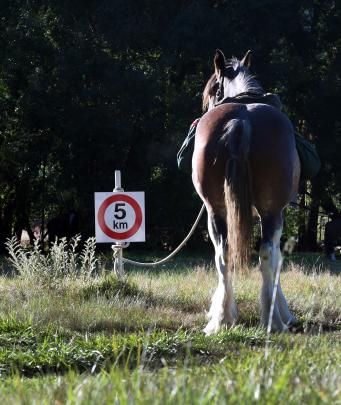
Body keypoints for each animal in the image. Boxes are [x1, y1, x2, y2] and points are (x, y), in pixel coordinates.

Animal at [193, 49, 298, 334]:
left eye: (212, 91)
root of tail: (241, 121)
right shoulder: (275, 213)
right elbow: (274, 259)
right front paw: (283, 311)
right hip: (271, 212)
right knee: (267, 254)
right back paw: (273, 321)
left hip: (216, 211)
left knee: (223, 255)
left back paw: (221, 320)